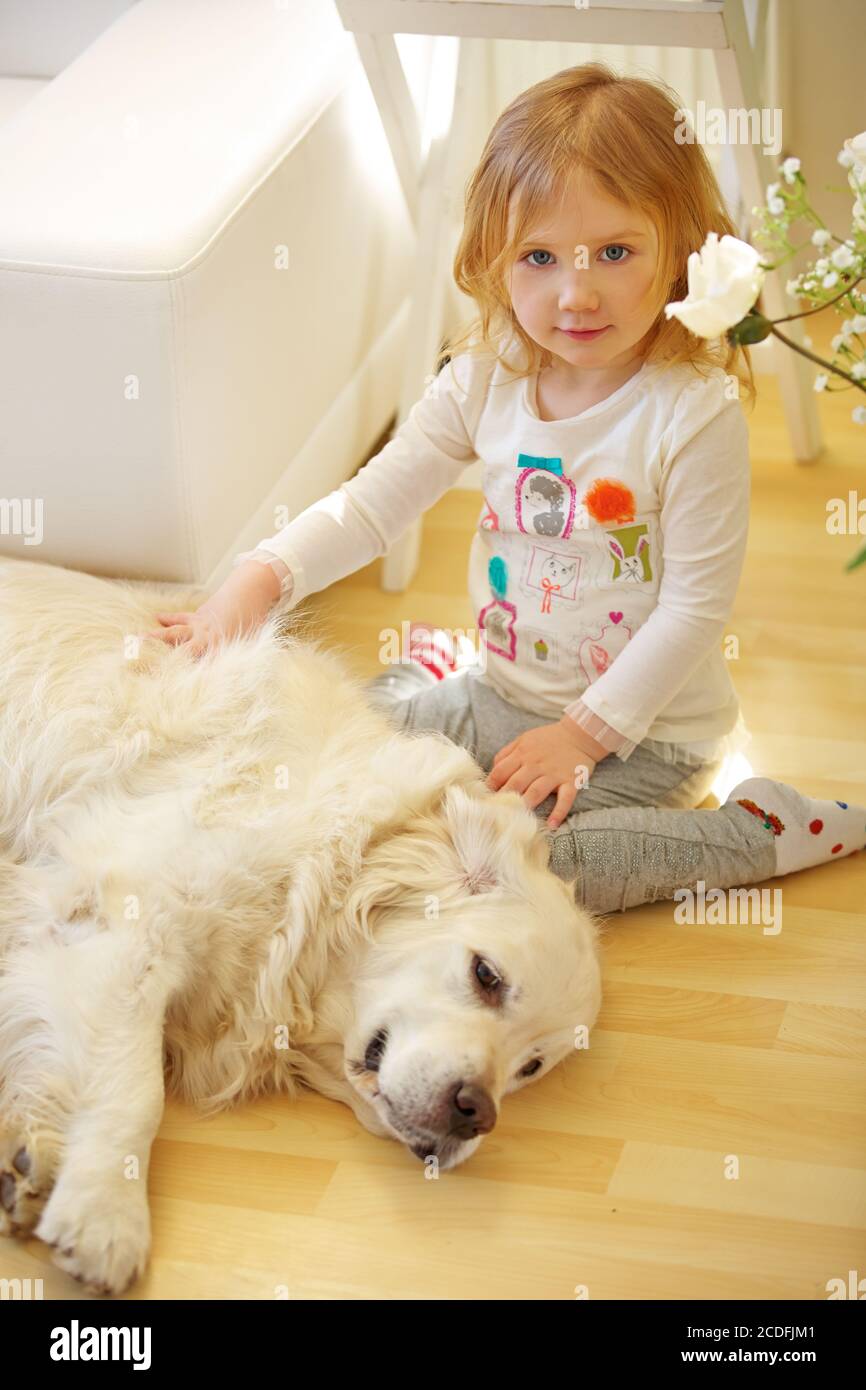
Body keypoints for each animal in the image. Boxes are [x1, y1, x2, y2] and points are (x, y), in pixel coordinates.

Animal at [0, 558, 603, 1295]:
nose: (477, 1112)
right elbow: (133, 1085)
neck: (318, 862)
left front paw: (38, 1156)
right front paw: (105, 1213)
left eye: (531, 1066)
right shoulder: (121, 917)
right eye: (486, 975)